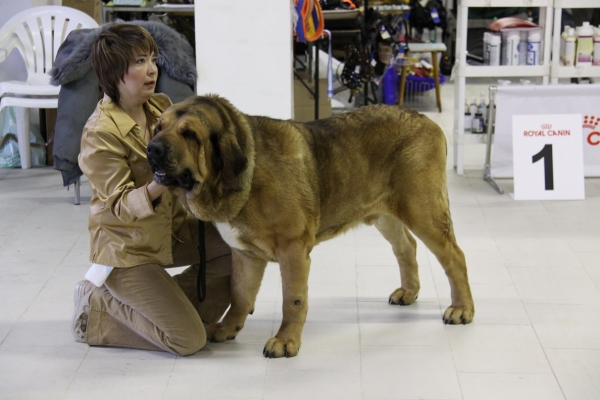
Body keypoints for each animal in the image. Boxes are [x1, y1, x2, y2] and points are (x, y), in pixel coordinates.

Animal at [148, 95, 476, 358]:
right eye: (158, 127)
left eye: (190, 134)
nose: (152, 148)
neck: (246, 175)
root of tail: (425, 120)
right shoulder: (245, 255)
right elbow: (239, 294)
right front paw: (229, 328)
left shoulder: (292, 251)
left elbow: (291, 300)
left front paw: (285, 341)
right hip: (385, 216)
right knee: (407, 247)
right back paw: (409, 292)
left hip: (423, 211)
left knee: (454, 256)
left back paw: (462, 309)